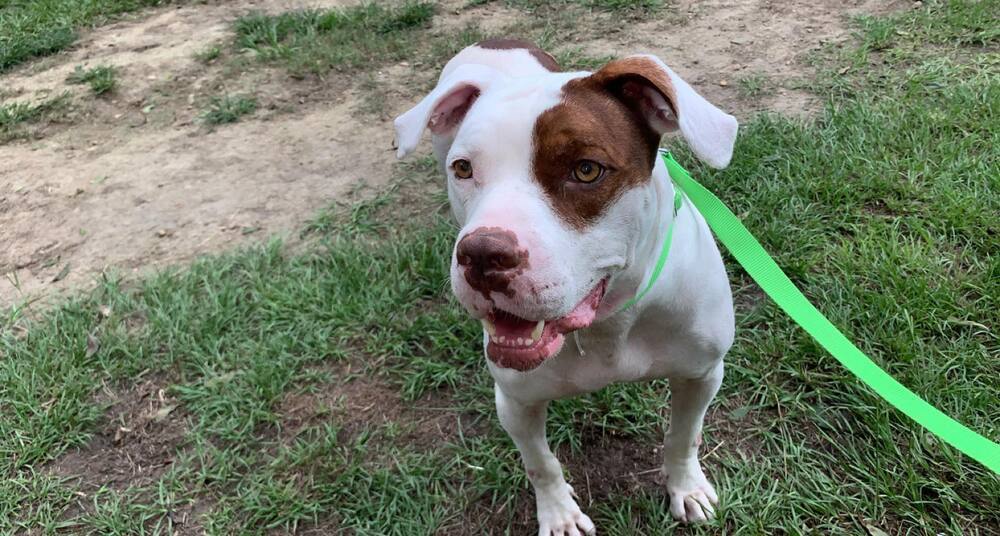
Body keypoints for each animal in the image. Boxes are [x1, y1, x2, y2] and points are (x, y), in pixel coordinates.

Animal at [394, 40, 740, 536]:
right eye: (463, 169)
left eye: (587, 170)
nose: (481, 254)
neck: (609, 323)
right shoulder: (515, 401)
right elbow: (541, 464)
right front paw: (559, 516)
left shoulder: (702, 373)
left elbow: (683, 437)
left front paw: (686, 489)